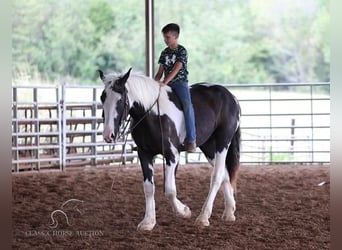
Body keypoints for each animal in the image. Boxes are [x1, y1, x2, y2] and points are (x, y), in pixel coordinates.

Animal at [98, 68, 240, 230]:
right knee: (226, 174)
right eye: (102, 97)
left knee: (217, 176)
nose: (108, 134)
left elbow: (170, 190)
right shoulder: (144, 153)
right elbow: (148, 188)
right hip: (208, 146)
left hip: (223, 142)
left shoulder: (172, 155)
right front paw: (148, 221)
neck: (152, 113)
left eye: (120, 99)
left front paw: (184, 211)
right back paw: (229, 212)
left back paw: (203, 217)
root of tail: (231, 97)